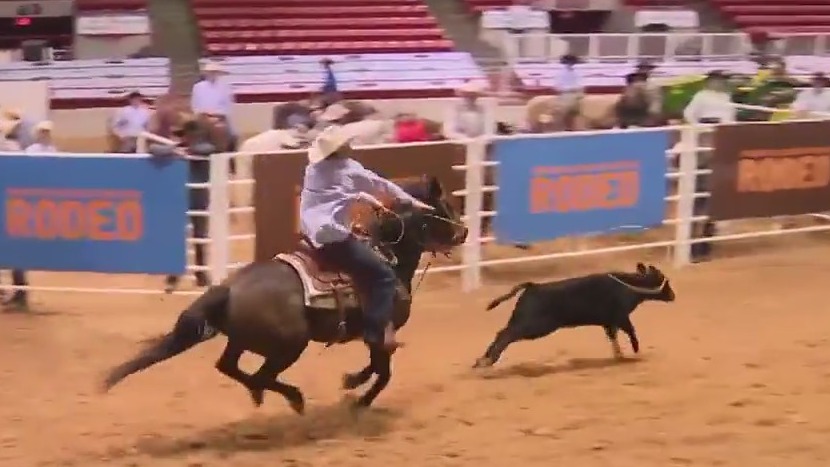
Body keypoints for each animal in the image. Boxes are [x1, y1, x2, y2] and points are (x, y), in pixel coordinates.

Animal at [102, 176, 468, 411]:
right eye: (444, 206)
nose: (464, 231)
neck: (387, 257)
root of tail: (229, 288)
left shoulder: (373, 335)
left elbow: (377, 365)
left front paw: (352, 381)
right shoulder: (381, 329)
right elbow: (384, 371)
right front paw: (359, 397)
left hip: (244, 340)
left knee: (230, 367)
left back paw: (262, 394)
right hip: (289, 346)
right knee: (261, 375)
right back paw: (293, 398)